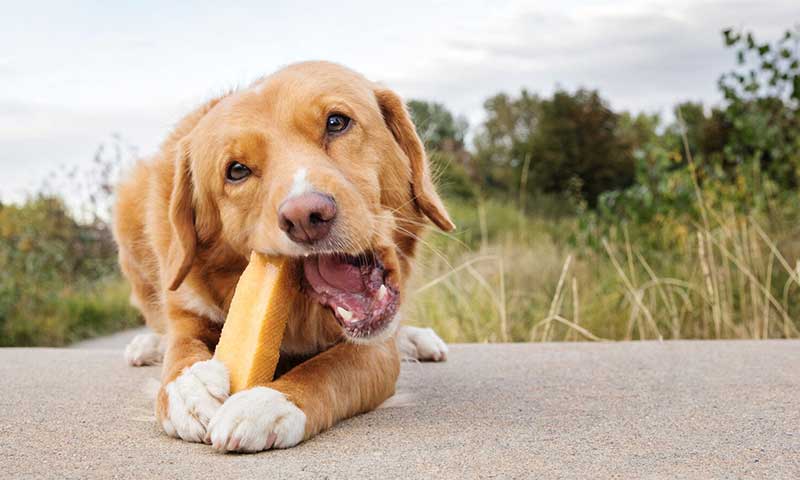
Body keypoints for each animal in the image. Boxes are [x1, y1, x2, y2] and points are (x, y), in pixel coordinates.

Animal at [111, 62, 456, 452]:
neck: (301, 315)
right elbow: (181, 348)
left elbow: (326, 370)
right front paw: (189, 388)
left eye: (336, 122)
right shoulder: (187, 311)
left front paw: (269, 402)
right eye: (236, 171)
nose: (305, 217)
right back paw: (148, 344)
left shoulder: (376, 350)